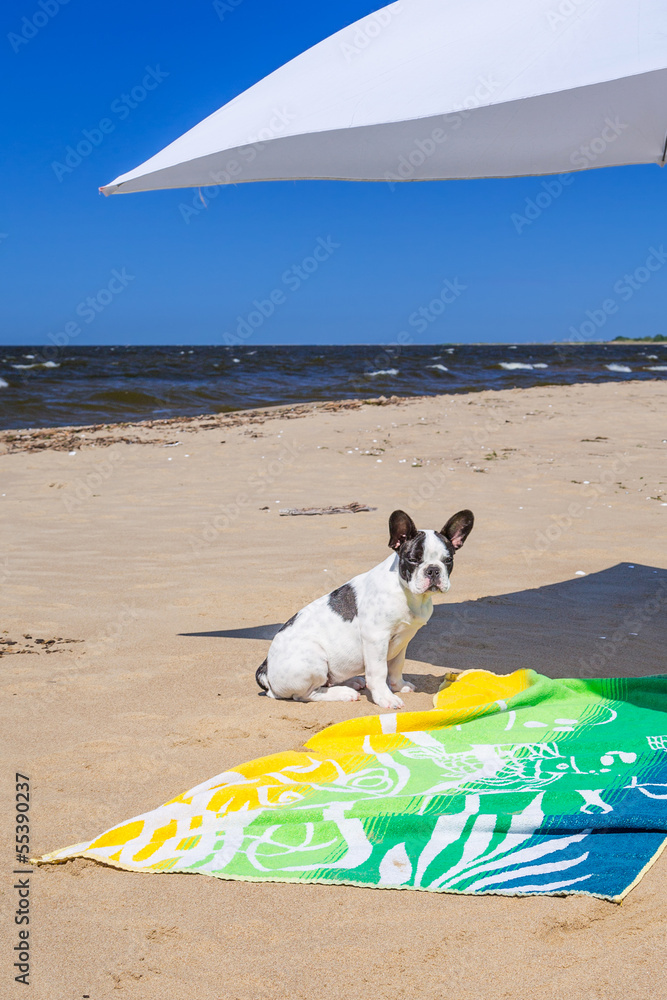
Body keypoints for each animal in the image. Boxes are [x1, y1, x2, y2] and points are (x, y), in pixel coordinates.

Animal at [256, 508, 474, 712]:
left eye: (448, 560)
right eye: (413, 559)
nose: (433, 570)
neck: (408, 593)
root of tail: (266, 671)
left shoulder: (403, 640)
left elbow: (397, 666)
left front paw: (398, 686)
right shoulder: (376, 638)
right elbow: (378, 672)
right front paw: (385, 698)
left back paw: (351, 682)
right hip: (313, 659)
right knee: (306, 694)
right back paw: (343, 693)